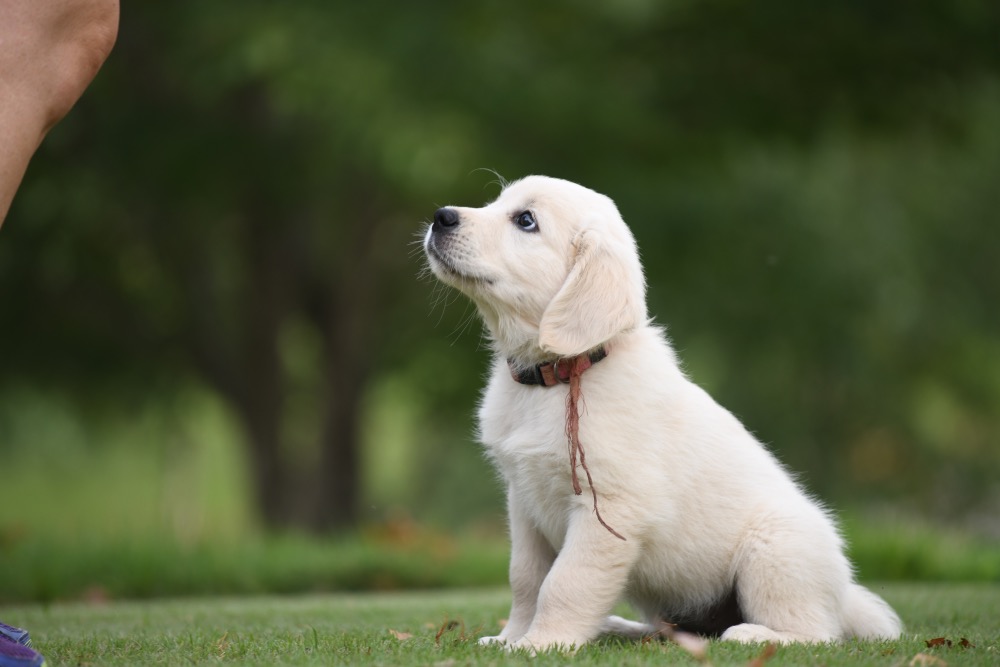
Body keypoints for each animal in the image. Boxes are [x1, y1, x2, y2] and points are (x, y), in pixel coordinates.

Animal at [418, 176, 904, 652]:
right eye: (497, 202)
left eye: (526, 220)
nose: (441, 216)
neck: (560, 376)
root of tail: (844, 594)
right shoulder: (523, 502)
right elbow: (525, 579)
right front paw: (510, 637)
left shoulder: (609, 508)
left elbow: (565, 583)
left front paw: (540, 645)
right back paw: (617, 627)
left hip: (774, 550)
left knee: (819, 633)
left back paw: (754, 633)